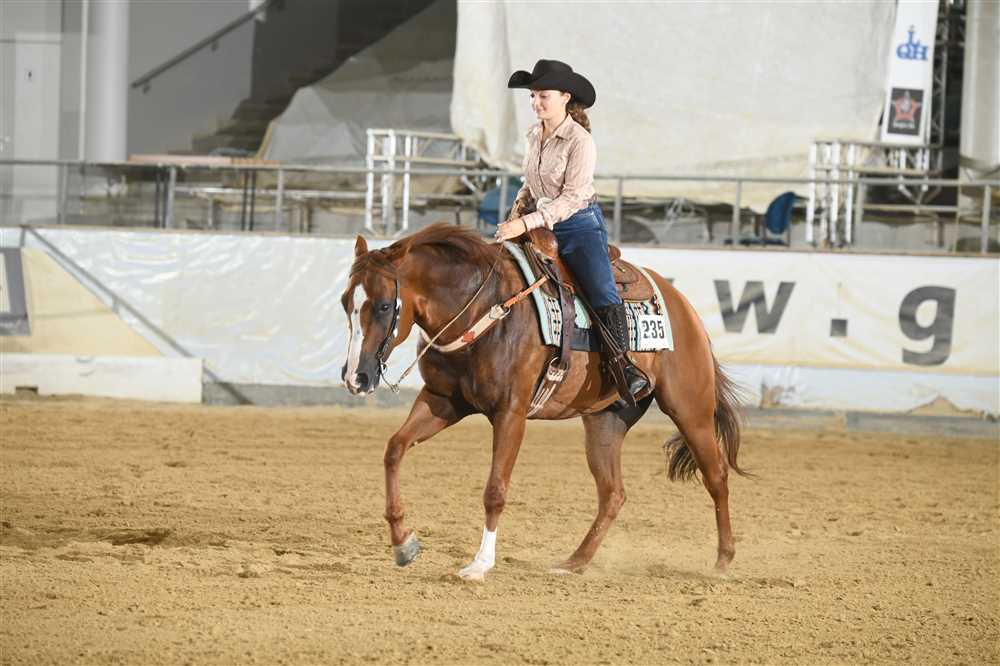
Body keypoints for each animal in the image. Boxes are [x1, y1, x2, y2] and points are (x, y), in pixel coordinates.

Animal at [341, 223, 746, 581]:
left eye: (383, 306)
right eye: (346, 303)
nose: (355, 377)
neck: (481, 308)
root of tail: (683, 306)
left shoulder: (511, 413)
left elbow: (495, 490)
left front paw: (480, 565)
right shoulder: (443, 401)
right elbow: (395, 449)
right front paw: (403, 542)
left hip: (690, 409)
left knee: (716, 476)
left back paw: (724, 560)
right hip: (606, 420)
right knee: (613, 494)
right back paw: (574, 562)